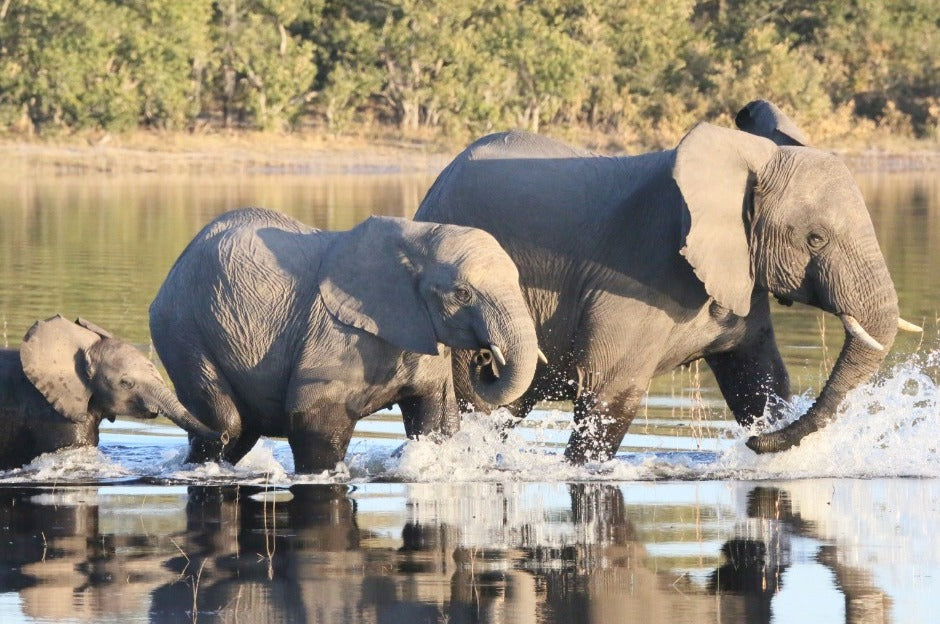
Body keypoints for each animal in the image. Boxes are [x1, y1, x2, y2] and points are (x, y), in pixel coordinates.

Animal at [149, 207, 539, 473]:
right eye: (462, 293)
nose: (486, 357)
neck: (416, 239)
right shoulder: (335, 335)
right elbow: (316, 419)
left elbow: (437, 418)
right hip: (182, 329)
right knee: (226, 423)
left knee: (240, 431)